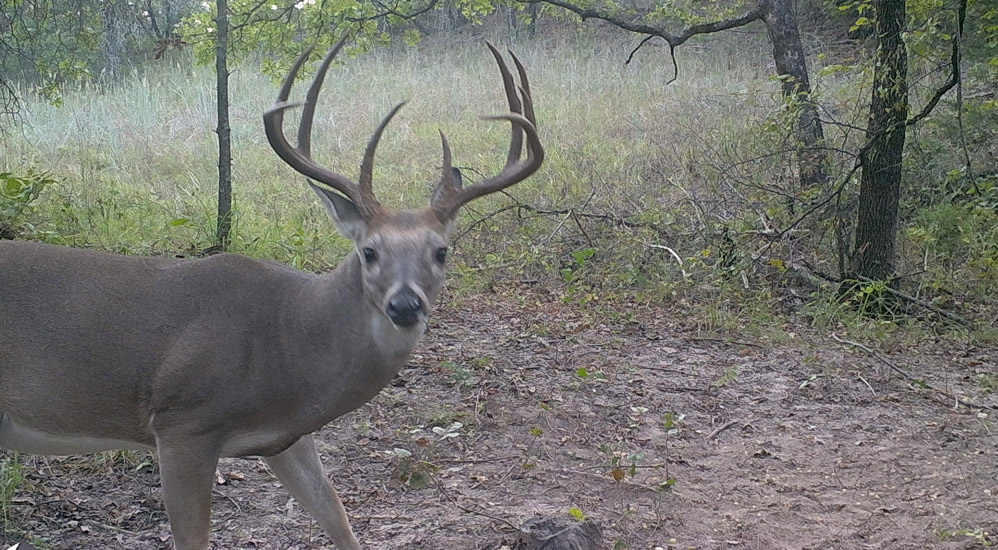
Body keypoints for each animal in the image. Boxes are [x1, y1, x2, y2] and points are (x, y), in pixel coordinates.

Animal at [0, 38, 542, 550]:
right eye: (369, 251)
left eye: (442, 251)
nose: (405, 305)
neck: (287, 341)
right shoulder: (182, 423)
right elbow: (193, 538)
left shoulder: (285, 438)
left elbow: (337, 519)